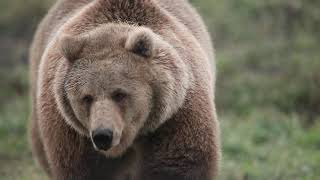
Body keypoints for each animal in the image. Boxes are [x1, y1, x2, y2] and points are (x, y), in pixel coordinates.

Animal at [28, 0, 220, 180]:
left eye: (119, 94)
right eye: (87, 97)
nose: (103, 135)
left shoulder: (174, 116)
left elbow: (177, 165)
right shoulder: (71, 134)